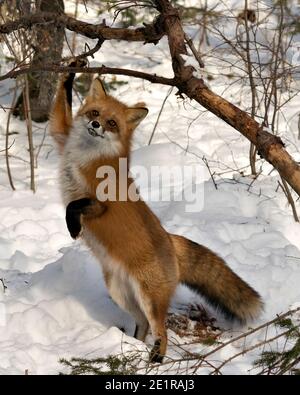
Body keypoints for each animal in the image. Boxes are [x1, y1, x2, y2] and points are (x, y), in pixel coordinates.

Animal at [50, 63, 264, 364]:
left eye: (112, 123)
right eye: (94, 113)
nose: (95, 126)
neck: (86, 157)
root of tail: (170, 240)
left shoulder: (102, 202)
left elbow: (74, 206)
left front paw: (73, 226)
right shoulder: (61, 136)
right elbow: (60, 108)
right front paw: (71, 69)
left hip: (149, 299)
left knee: (161, 330)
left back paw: (155, 360)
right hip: (121, 293)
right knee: (142, 325)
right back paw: (134, 347)